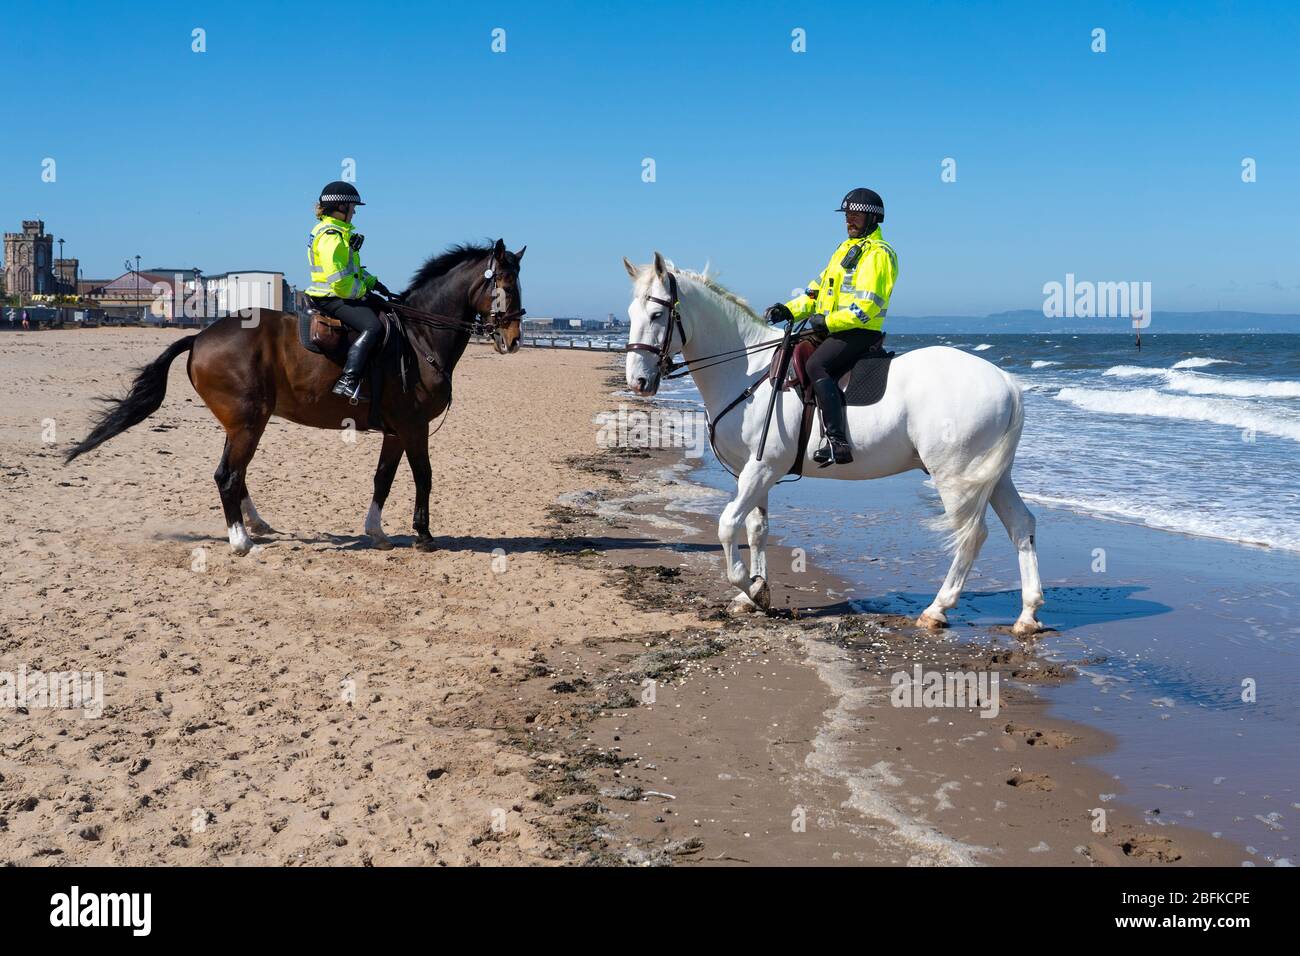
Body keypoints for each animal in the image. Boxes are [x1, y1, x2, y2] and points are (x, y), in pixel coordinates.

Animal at [65, 238, 522, 554]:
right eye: (504, 284)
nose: (514, 339)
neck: (419, 335)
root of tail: (201, 336)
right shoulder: (413, 427)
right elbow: (424, 476)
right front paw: (423, 535)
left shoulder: (395, 431)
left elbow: (383, 478)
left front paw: (377, 532)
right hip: (249, 421)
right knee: (227, 475)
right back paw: (241, 541)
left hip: (242, 422)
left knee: (235, 474)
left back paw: (256, 525)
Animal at [621, 257, 1045, 639]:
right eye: (629, 313)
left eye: (657, 315)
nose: (638, 382)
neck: (748, 371)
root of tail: (1005, 380)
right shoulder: (753, 472)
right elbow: (757, 529)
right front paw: (755, 591)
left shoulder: (762, 469)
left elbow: (727, 526)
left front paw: (751, 588)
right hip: (992, 476)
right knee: (1022, 525)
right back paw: (1027, 614)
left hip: (955, 477)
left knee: (971, 536)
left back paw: (937, 609)